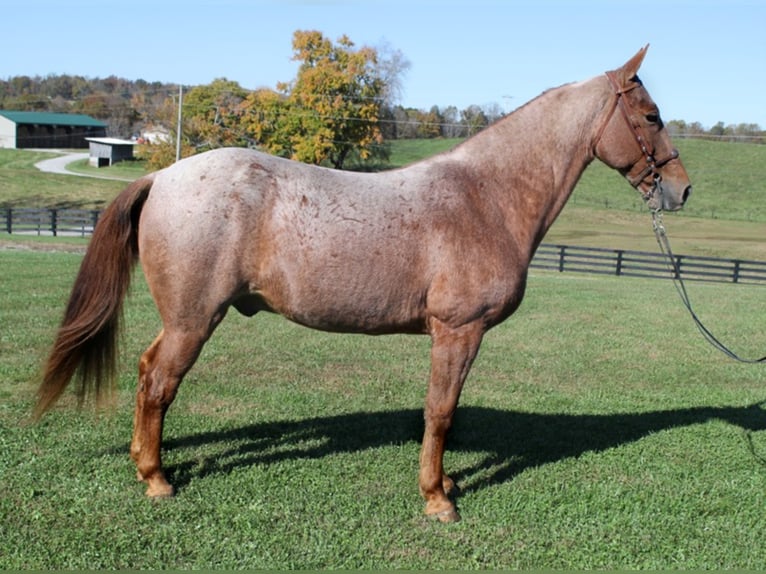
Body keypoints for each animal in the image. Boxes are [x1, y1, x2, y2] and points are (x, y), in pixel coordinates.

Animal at [36, 47, 692, 524]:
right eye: (651, 116)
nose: (681, 189)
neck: (486, 196)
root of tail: (165, 176)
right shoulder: (458, 332)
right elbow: (440, 413)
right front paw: (437, 499)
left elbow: (444, 414)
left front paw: (445, 482)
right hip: (192, 321)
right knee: (157, 384)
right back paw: (156, 479)